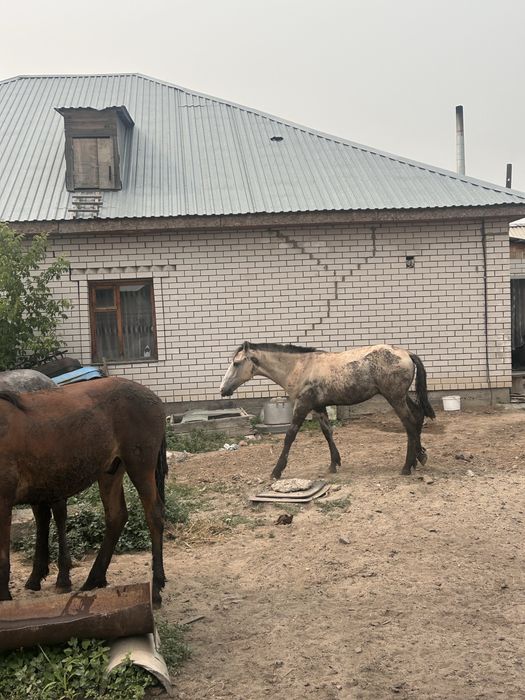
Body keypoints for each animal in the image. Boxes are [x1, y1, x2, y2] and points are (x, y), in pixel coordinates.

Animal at [220, 342, 435, 479]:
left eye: (236, 363)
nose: (223, 390)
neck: (300, 367)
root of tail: (407, 354)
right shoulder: (318, 407)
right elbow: (327, 432)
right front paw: (334, 464)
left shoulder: (303, 406)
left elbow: (290, 436)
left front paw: (276, 471)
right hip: (402, 396)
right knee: (417, 417)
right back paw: (419, 458)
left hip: (394, 398)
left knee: (409, 424)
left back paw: (407, 467)